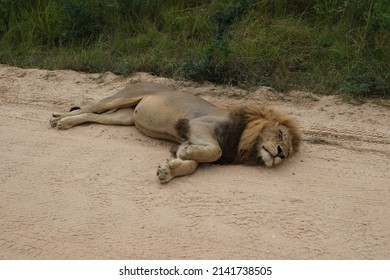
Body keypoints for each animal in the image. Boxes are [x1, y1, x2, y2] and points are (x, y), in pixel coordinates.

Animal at [50, 82, 302, 183]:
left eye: (289, 152)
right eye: (281, 135)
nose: (281, 153)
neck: (244, 142)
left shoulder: (189, 138)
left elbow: (192, 164)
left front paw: (168, 170)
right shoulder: (198, 125)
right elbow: (215, 151)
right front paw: (181, 160)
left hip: (123, 117)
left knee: (90, 116)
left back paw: (67, 122)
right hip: (122, 98)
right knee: (88, 107)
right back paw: (58, 119)